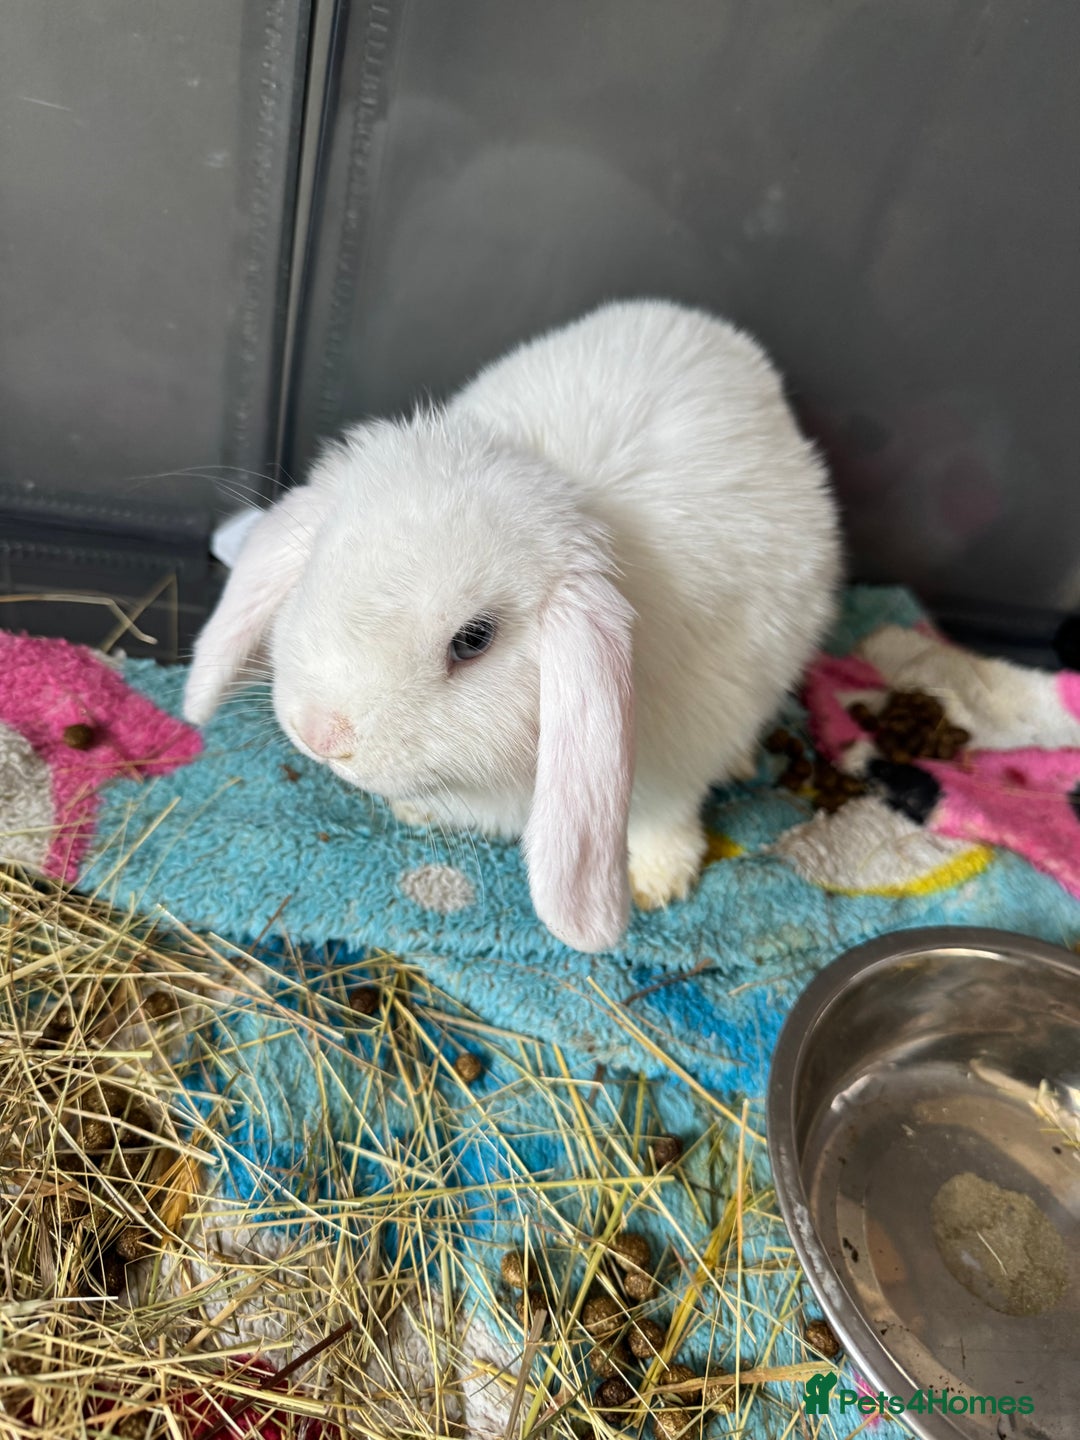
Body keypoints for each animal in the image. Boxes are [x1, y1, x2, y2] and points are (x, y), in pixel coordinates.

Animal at [184, 299, 841, 953]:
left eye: (473, 640)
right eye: (319, 562)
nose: (320, 735)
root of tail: (707, 328)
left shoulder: (684, 751)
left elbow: (666, 820)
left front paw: (658, 882)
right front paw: (414, 811)